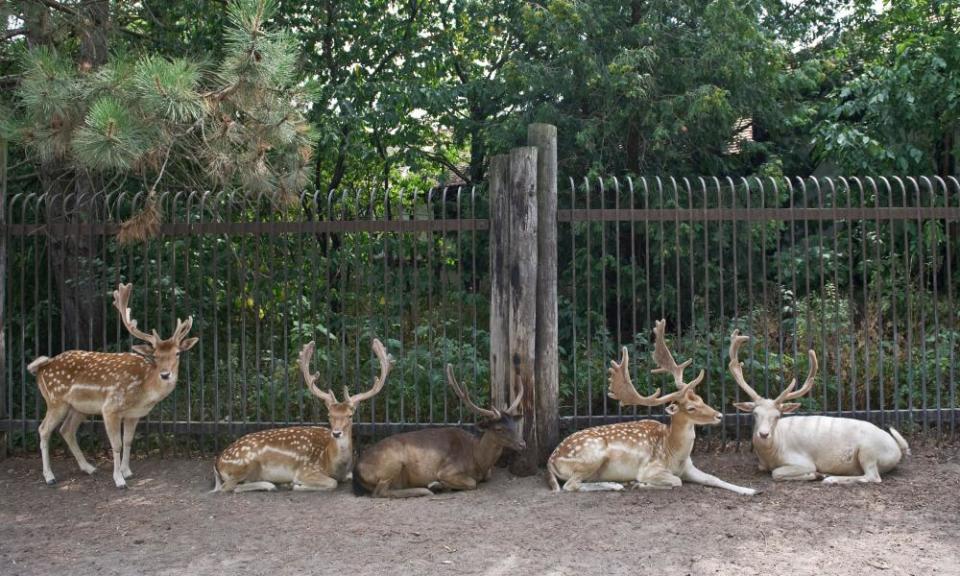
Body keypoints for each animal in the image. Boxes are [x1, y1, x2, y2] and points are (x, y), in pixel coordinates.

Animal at [28, 282, 198, 486]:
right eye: (155, 355)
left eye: (178, 353)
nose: (165, 374)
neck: (143, 391)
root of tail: (42, 367)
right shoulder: (110, 408)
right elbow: (116, 444)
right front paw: (119, 480)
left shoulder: (134, 415)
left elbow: (128, 441)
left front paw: (127, 471)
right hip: (55, 400)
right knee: (43, 429)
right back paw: (49, 476)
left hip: (78, 407)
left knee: (66, 430)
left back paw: (89, 468)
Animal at [212, 340, 392, 492]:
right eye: (329, 415)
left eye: (350, 415)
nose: (336, 433)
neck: (332, 463)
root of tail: (218, 462)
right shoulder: (307, 469)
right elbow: (332, 483)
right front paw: (296, 485)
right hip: (246, 462)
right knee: (228, 487)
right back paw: (272, 484)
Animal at [352, 364, 524, 496]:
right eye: (499, 428)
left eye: (514, 424)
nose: (522, 444)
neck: (478, 460)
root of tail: (357, 470)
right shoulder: (447, 470)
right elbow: (472, 483)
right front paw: (437, 484)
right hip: (392, 464)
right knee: (380, 492)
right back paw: (424, 490)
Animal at [548, 320, 756, 496]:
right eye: (690, 408)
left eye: (701, 399)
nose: (719, 415)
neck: (674, 454)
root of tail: (551, 459)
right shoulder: (649, 468)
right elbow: (676, 481)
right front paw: (641, 484)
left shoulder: (689, 467)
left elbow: (713, 478)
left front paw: (750, 490)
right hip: (591, 456)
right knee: (570, 485)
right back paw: (615, 485)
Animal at [732, 330, 912, 484]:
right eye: (755, 413)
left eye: (777, 416)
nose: (763, 434)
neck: (771, 455)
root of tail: (896, 449)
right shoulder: (762, 464)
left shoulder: (802, 461)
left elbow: (777, 473)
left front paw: (815, 474)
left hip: (869, 451)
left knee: (873, 476)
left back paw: (830, 478)